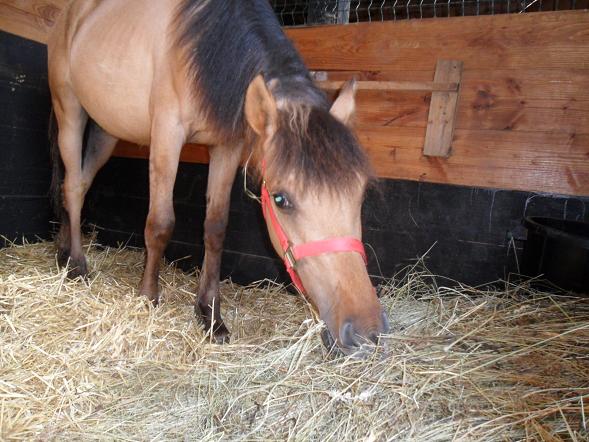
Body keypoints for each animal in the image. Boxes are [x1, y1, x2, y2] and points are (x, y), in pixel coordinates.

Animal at [46, 0, 386, 356]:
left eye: (360, 193)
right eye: (281, 199)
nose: (365, 331)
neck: (202, 44)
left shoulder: (226, 147)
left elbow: (216, 228)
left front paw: (210, 315)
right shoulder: (167, 135)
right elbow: (160, 224)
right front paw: (148, 297)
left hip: (106, 130)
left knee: (79, 184)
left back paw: (64, 251)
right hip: (70, 113)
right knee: (72, 186)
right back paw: (77, 266)